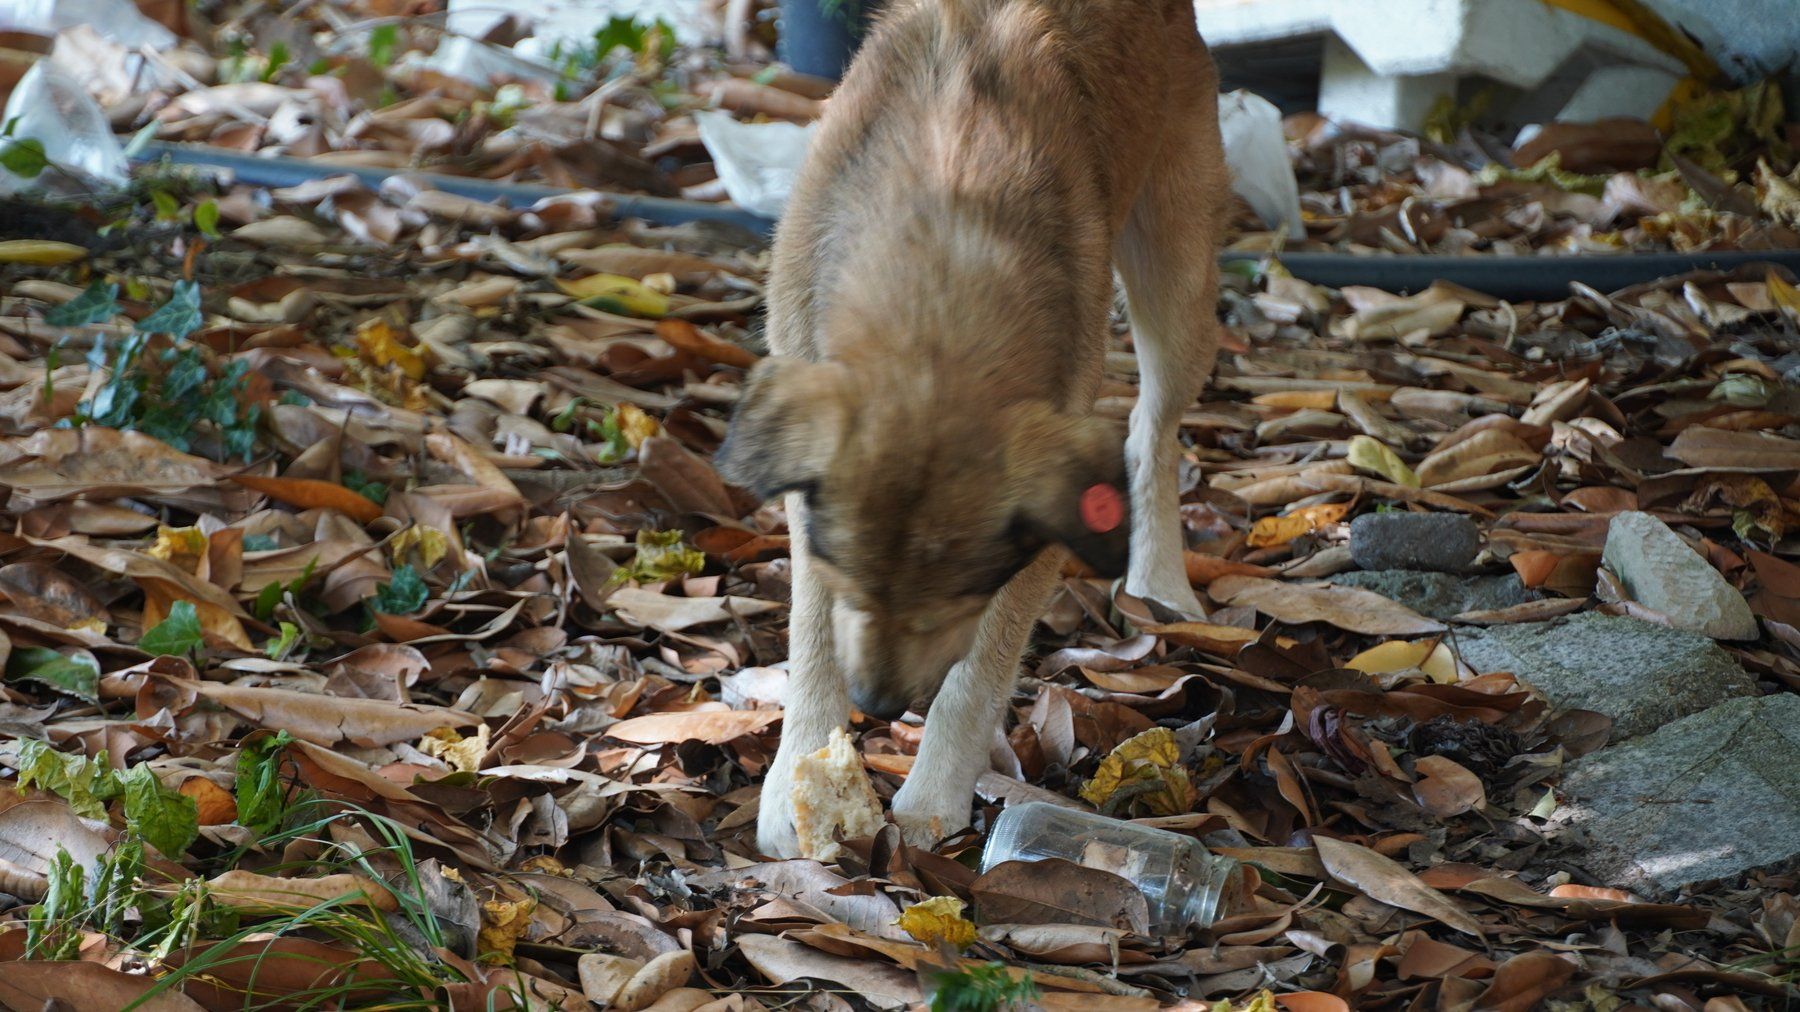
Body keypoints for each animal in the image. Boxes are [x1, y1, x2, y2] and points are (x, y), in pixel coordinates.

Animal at [716, 0, 1226, 857]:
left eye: (953, 599)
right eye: (854, 583)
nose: (878, 704)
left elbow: (981, 667)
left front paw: (934, 793)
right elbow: (812, 629)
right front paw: (797, 780)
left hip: (1177, 278)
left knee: (1153, 427)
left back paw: (1158, 578)